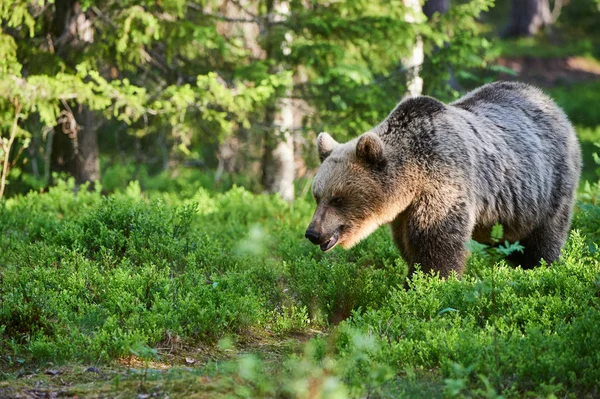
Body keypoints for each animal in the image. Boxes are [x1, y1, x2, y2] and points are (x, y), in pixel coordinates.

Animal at [304, 82, 580, 278]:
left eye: (338, 198)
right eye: (317, 196)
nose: (312, 232)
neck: (412, 180)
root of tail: (550, 102)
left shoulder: (444, 181)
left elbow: (436, 243)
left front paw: (425, 284)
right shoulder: (404, 212)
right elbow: (409, 244)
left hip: (548, 185)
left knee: (544, 237)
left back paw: (540, 267)